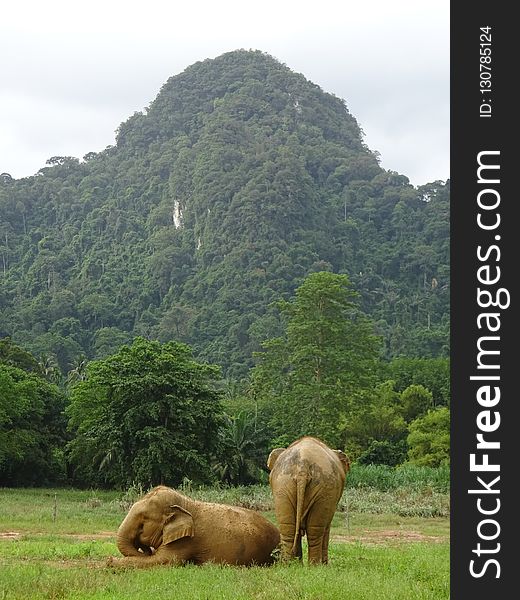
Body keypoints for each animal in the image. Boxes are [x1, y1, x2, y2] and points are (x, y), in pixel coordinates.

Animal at [107, 482, 280, 568]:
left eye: (143, 520)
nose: (145, 548)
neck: (186, 503)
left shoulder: (185, 541)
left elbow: (164, 560)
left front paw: (109, 562)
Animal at [268, 436, 350, 564]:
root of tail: (302, 467)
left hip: (282, 485)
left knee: (289, 529)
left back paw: (290, 565)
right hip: (323, 490)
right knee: (315, 531)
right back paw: (315, 566)